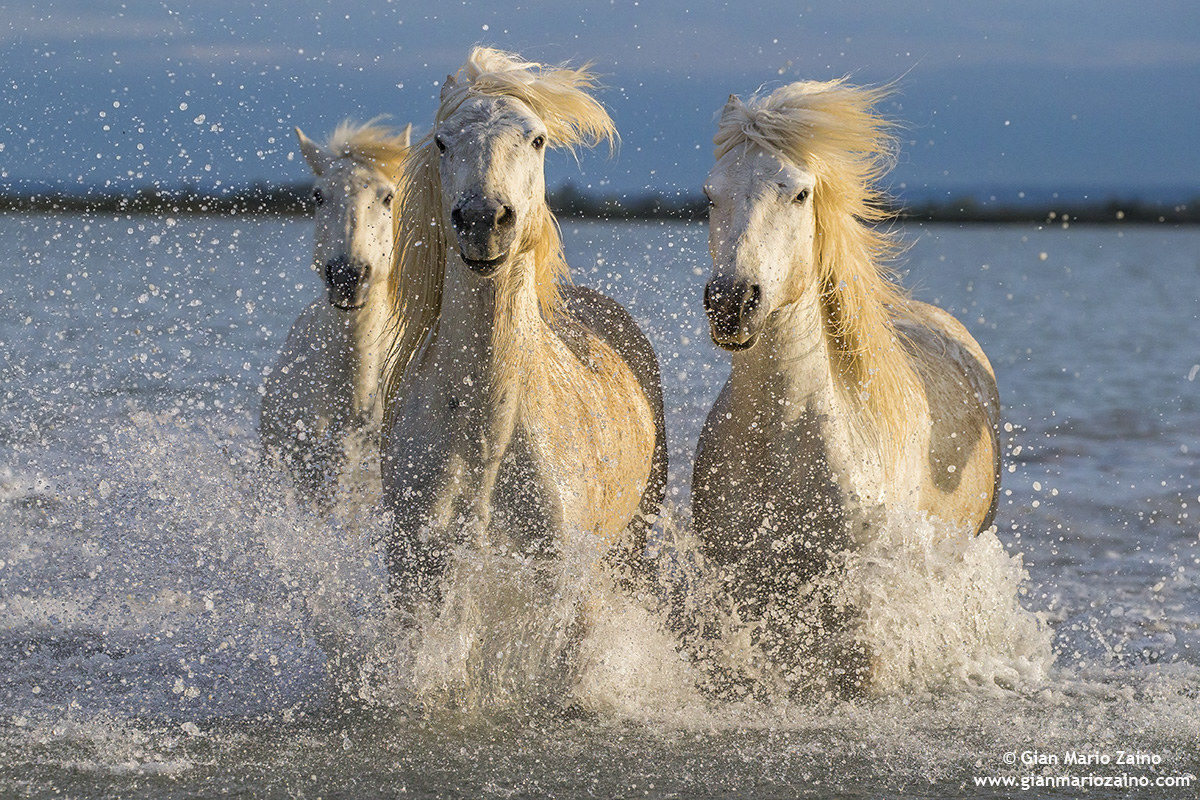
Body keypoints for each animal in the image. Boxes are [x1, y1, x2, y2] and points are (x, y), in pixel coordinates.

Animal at [381, 48, 666, 614]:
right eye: (443, 141)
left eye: (537, 139)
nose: (482, 220)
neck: (485, 441)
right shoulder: (416, 580)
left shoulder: (558, 588)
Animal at [690, 81, 1002, 693]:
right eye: (711, 195)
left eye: (799, 193)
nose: (732, 302)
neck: (782, 434)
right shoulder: (736, 586)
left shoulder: (856, 605)